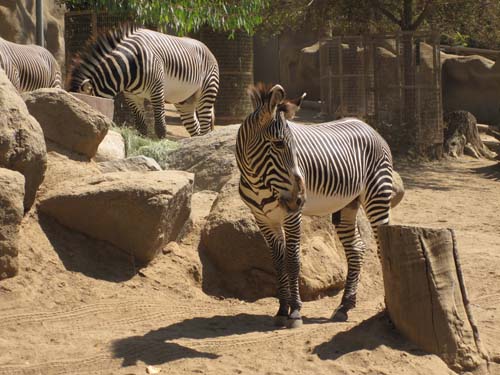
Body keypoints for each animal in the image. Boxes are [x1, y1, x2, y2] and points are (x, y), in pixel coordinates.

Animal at [68, 25, 219, 139]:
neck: (128, 66)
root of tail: (206, 48)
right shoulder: (132, 97)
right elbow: (141, 127)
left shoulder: (157, 90)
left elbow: (159, 125)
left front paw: (161, 143)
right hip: (185, 100)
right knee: (195, 127)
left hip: (207, 92)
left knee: (205, 127)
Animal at [236, 83, 392, 328]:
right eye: (278, 144)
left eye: (295, 148)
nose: (300, 199)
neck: (258, 182)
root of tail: (367, 125)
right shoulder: (262, 218)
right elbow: (278, 262)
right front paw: (281, 310)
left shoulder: (292, 216)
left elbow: (293, 261)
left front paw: (295, 311)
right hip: (347, 205)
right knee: (356, 248)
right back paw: (344, 306)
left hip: (378, 195)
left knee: (381, 247)